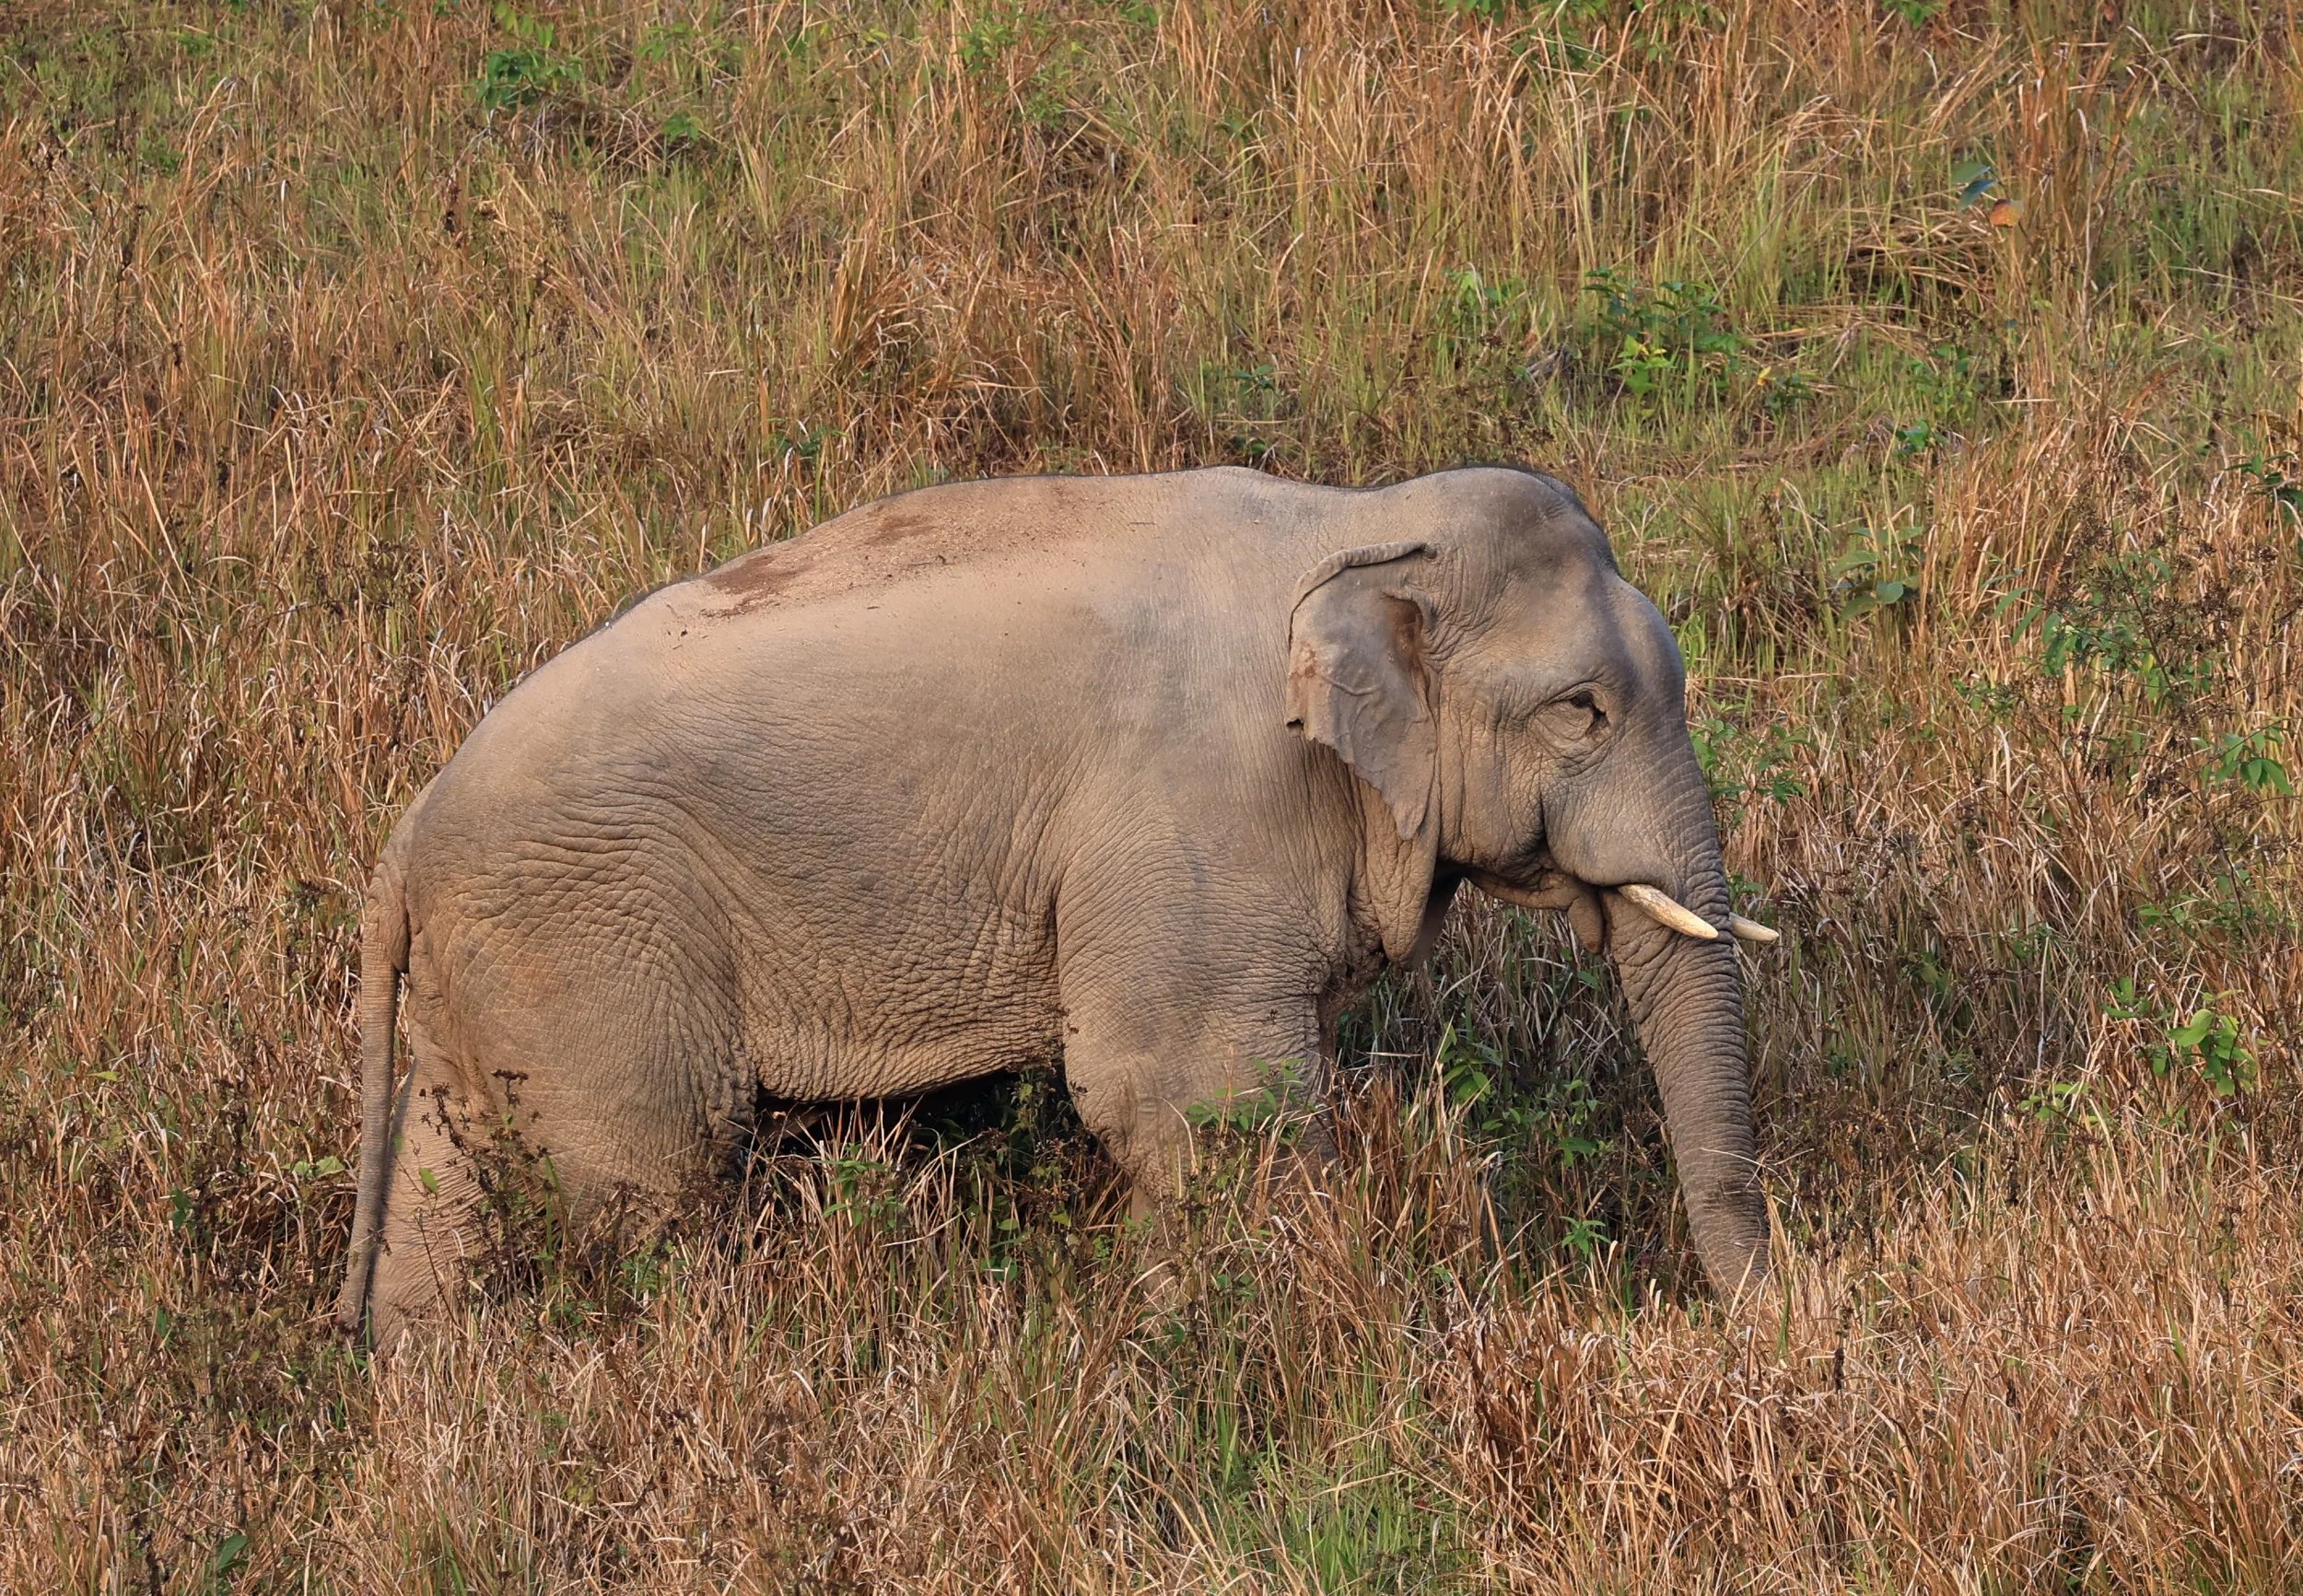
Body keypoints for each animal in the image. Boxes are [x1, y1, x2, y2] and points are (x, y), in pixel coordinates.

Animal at [334, 464, 1775, 1339]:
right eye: (1582, 710)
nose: (1760, 1320)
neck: (1354, 521)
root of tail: (399, 846)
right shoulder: (1196, 810)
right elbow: (1193, 1097)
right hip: (593, 939)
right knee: (648, 1186)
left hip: (495, 976)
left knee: (446, 1207)